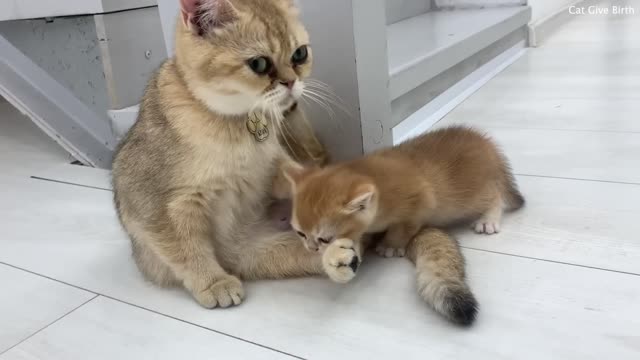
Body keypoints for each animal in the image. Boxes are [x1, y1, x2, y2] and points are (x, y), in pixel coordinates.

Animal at [284, 126, 524, 256]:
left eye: (325, 239)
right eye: (301, 233)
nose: (311, 248)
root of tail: (487, 144)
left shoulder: (422, 201)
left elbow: (403, 228)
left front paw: (390, 246)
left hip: (471, 195)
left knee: (495, 195)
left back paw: (488, 219)